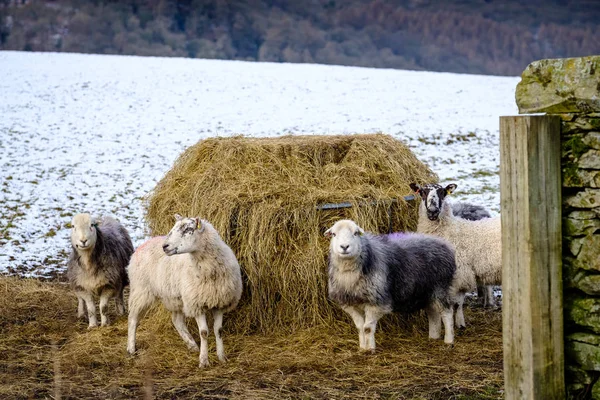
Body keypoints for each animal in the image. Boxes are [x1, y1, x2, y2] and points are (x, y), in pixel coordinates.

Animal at [127, 214, 244, 368]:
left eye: (187, 229)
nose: (165, 246)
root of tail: (143, 244)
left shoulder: (219, 302)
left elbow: (218, 331)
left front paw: (222, 357)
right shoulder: (196, 303)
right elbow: (204, 332)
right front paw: (204, 360)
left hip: (175, 297)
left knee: (177, 321)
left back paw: (192, 344)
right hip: (141, 290)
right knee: (133, 319)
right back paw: (131, 348)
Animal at [326, 219, 458, 350]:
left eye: (356, 233)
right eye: (334, 234)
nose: (344, 247)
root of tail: (444, 244)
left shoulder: (377, 301)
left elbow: (367, 328)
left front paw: (370, 349)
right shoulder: (351, 304)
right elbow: (360, 327)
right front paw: (363, 348)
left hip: (440, 288)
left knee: (447, 313)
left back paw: (449, 340)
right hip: (427, 292)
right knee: (433, 313)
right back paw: (433, 337)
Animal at [408, 183, 502, 330]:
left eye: (442, 192)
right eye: (422, 192)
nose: (433, 211)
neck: (449, 230)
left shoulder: (460, 274)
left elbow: (457, 303)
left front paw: (459, 324)